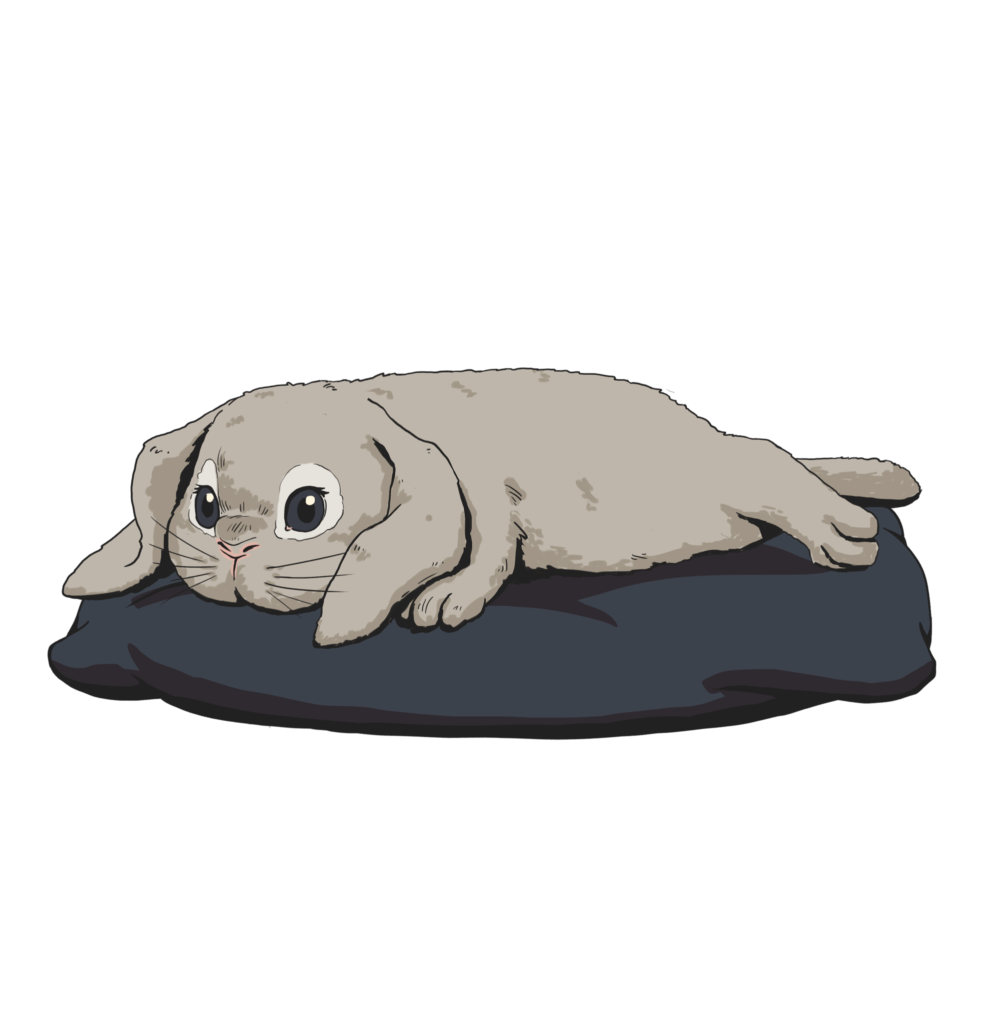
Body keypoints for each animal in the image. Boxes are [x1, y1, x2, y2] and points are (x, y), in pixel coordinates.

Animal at [62, 370, 921, 648]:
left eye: (307, 509)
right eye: (203, 505)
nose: (233, 550)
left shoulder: (479, 483)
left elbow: (492, 546)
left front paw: (446, 598)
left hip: (723, 467)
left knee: (769, 458)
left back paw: (845, 531)